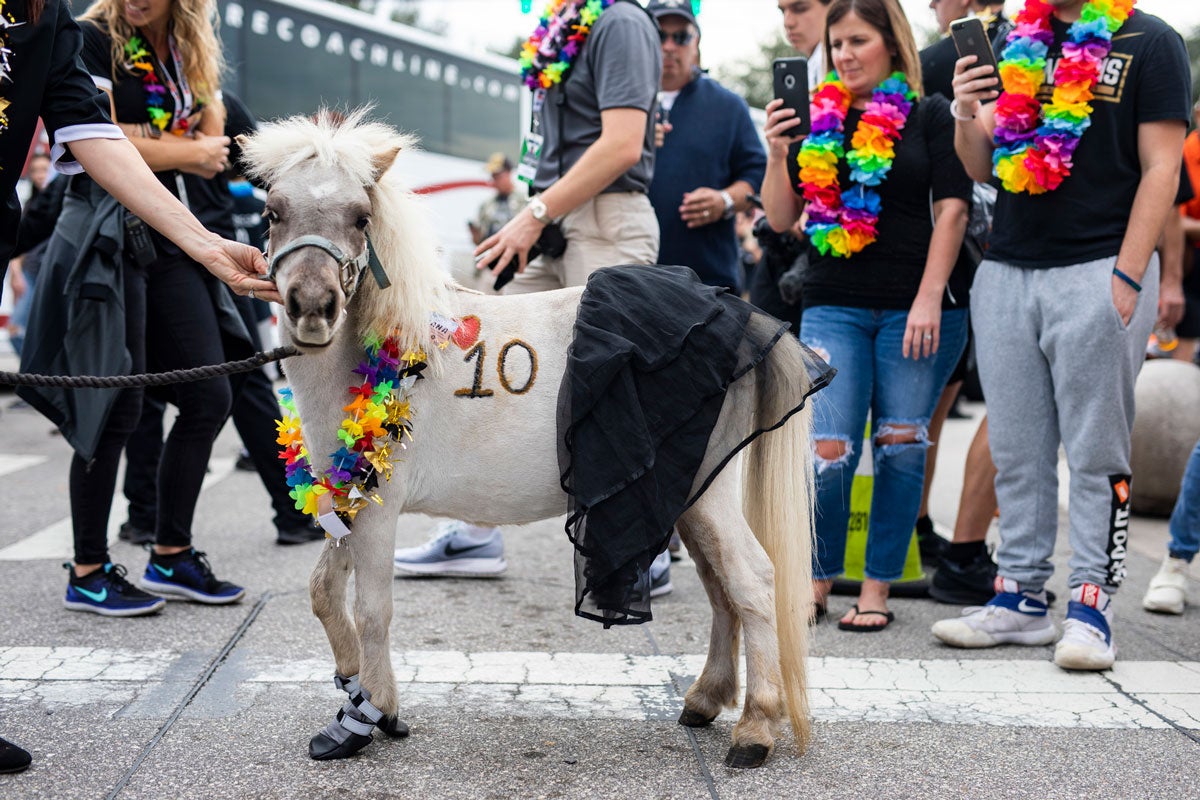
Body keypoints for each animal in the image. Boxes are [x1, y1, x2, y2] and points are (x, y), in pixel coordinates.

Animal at [242, 109, 820, 767]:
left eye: (361, 217)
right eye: (272, 211)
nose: (312, 308)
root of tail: (748, 319)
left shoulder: (381, 508)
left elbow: (372, 610)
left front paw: (370, 713)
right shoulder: (348, 498)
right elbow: (322, 591)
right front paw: (349, 681)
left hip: (709, 495)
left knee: (752, 581)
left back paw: (755, 728)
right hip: (688, 496)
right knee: (721, 588)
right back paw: (706, 700)